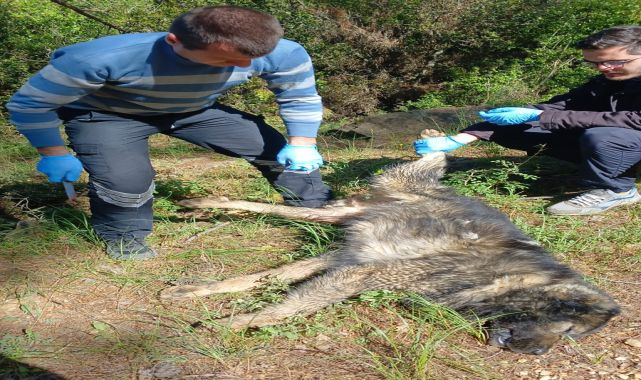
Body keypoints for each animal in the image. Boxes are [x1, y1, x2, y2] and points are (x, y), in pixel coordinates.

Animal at [162, 150, 616, 354]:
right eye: (568, 328)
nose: (538, 352)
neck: (511, 278)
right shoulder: (364, 273)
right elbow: (285, 309)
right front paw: (230, 325)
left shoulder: (347, 262)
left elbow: (265, 280)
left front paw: (199, 296)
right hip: (389, 185)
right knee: (430, 157)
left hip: (342, 219)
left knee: (273, 209)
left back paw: (200, 206)